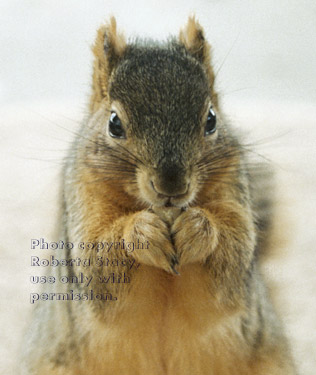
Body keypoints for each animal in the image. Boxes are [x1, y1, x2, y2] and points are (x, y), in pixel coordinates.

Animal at [21, 16, 296, 375]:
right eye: (114, 123)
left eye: (211, 119)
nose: (171, 187)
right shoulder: (83, 200)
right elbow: (98, 262)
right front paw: (141, 232)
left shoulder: (233, 188)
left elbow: (233, 257)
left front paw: (197, 228)